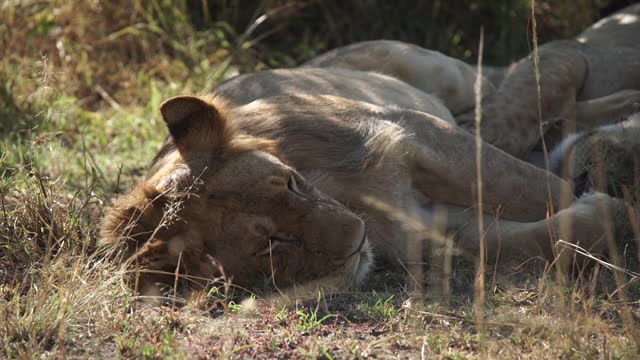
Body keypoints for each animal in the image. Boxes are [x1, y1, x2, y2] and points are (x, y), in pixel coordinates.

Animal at [101, 5, 640, 296]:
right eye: (269, 244)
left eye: (291, 183)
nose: (357, 237)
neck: (344, 196)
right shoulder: (429, 229)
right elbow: (537, 239)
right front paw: (604, 212)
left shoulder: (419, 135)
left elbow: (536, 186)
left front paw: (600, 190)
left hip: (444, 74)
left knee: (510, 98)